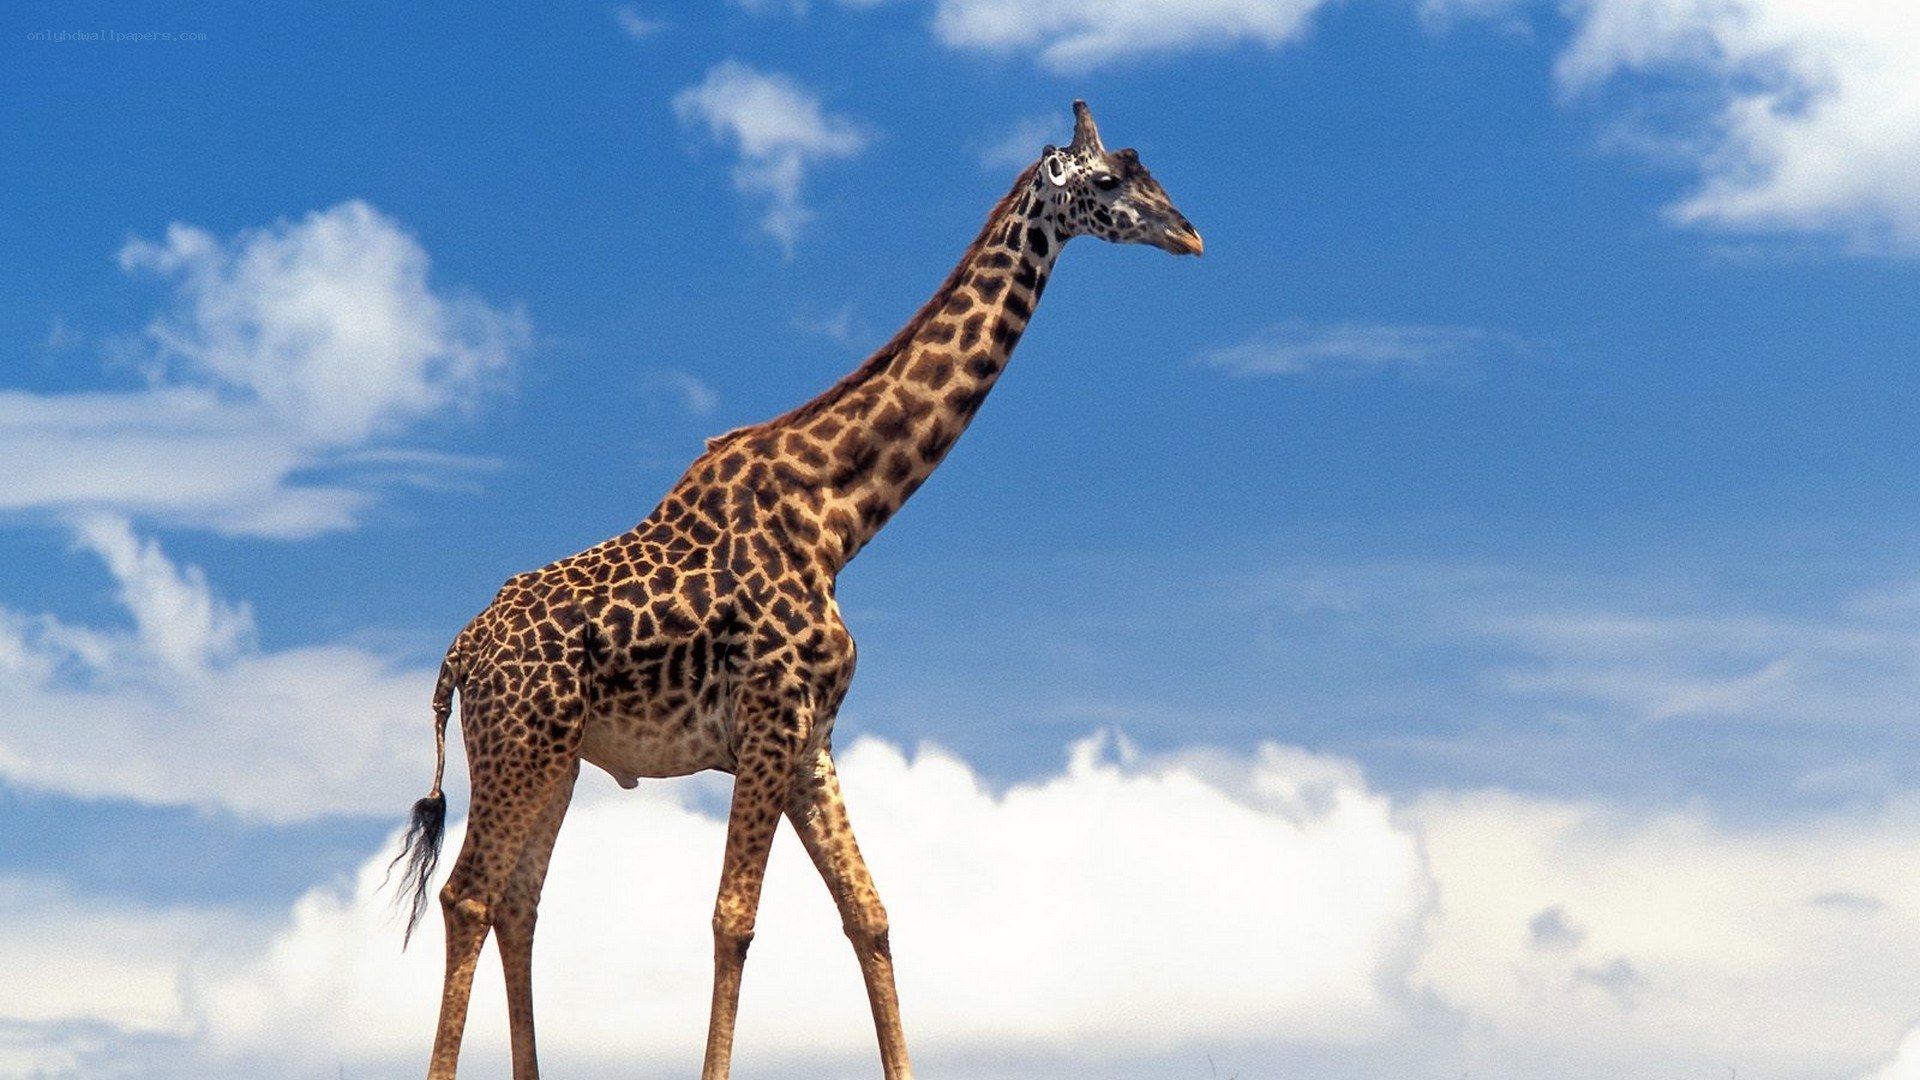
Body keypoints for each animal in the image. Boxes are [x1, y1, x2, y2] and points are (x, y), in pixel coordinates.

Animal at [389, 99, 1201, 1080]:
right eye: (1112, 178)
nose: (1190, 234)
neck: (842, 514)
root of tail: (456, 657)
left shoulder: (811, 739)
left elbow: (871, 917)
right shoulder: (771, 721)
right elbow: (734, 921)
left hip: (553, 756)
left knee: (518, 901)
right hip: (520, 745)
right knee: (470, 896)